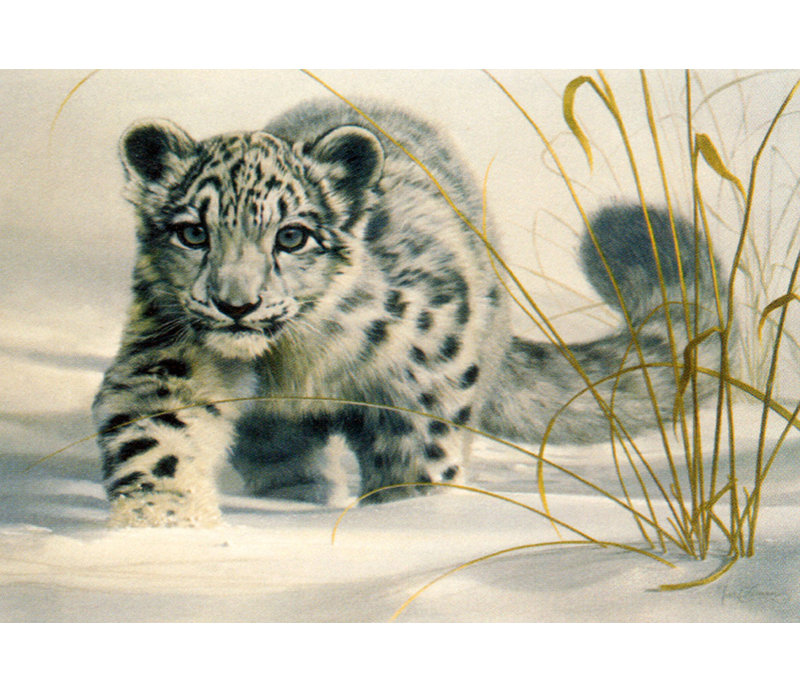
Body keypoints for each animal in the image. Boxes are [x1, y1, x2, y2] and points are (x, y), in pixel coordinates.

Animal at [92, 99, 723, 527]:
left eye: (292, 236)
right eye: (193, 232)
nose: (237, 305)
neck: (294, 359)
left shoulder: (420, 387)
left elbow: (419, 465)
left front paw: (407, 517)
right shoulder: (168, 356)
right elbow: (156, 440)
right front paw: (162, 527)